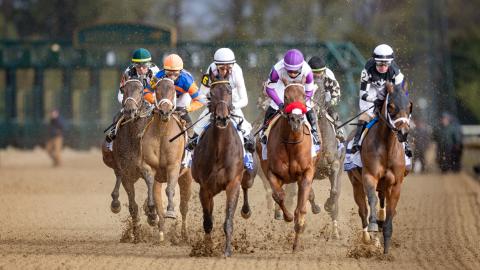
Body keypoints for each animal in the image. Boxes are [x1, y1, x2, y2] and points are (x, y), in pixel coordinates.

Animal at [101, 79, 157, 243]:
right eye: (124, 90)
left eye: (141, 90)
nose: (129, 111)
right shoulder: (127, 173)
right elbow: (133, 206)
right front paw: (136, 234)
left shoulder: (148, 169)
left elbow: (151, 186)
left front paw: (152, 214)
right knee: (117, 176)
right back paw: (115, 203)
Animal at [140, 77, 192, 242]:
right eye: (157, 90)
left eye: (174, 90)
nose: (165, 111)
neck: (162, 134)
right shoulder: (149, 166)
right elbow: (151, 188)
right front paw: (151, 211)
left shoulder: (173, 166)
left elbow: (170, 189)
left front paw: (171, 212)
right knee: (158, 201)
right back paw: (161, 231)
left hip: (186, 177)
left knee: (184, 206)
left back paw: (184, 234)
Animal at [190, 79, 255, 256]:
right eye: (211, 93)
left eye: (230, 91)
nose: (221, 118)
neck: (219, 150)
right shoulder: (204, 188)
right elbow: (207, 221)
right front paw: (207, 249)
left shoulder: (233, 183)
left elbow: (228, 220)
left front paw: (227, 251)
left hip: (248, 176)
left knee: (246, 187)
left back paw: (246, 211)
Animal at [256, 83, 316, 251]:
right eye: (286, 97)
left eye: (303, 96)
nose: (296, 120)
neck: (291, 143)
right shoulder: (271, 172)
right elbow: (278, 196)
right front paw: (288, 216)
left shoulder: (306, 172)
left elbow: (301, 207)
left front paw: (298, 230)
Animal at [346, 82, 410, 253]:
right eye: (391, 107)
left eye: (410, 106)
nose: (403, 133)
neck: (387, 147)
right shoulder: (369, 177)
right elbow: (371, 202)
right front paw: (374, 227)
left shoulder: (396, 184)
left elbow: (390, 211)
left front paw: (386, 251)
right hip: (356, 183)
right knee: (363, 209)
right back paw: (367, 237)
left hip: (384, 186)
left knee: (382, 203)